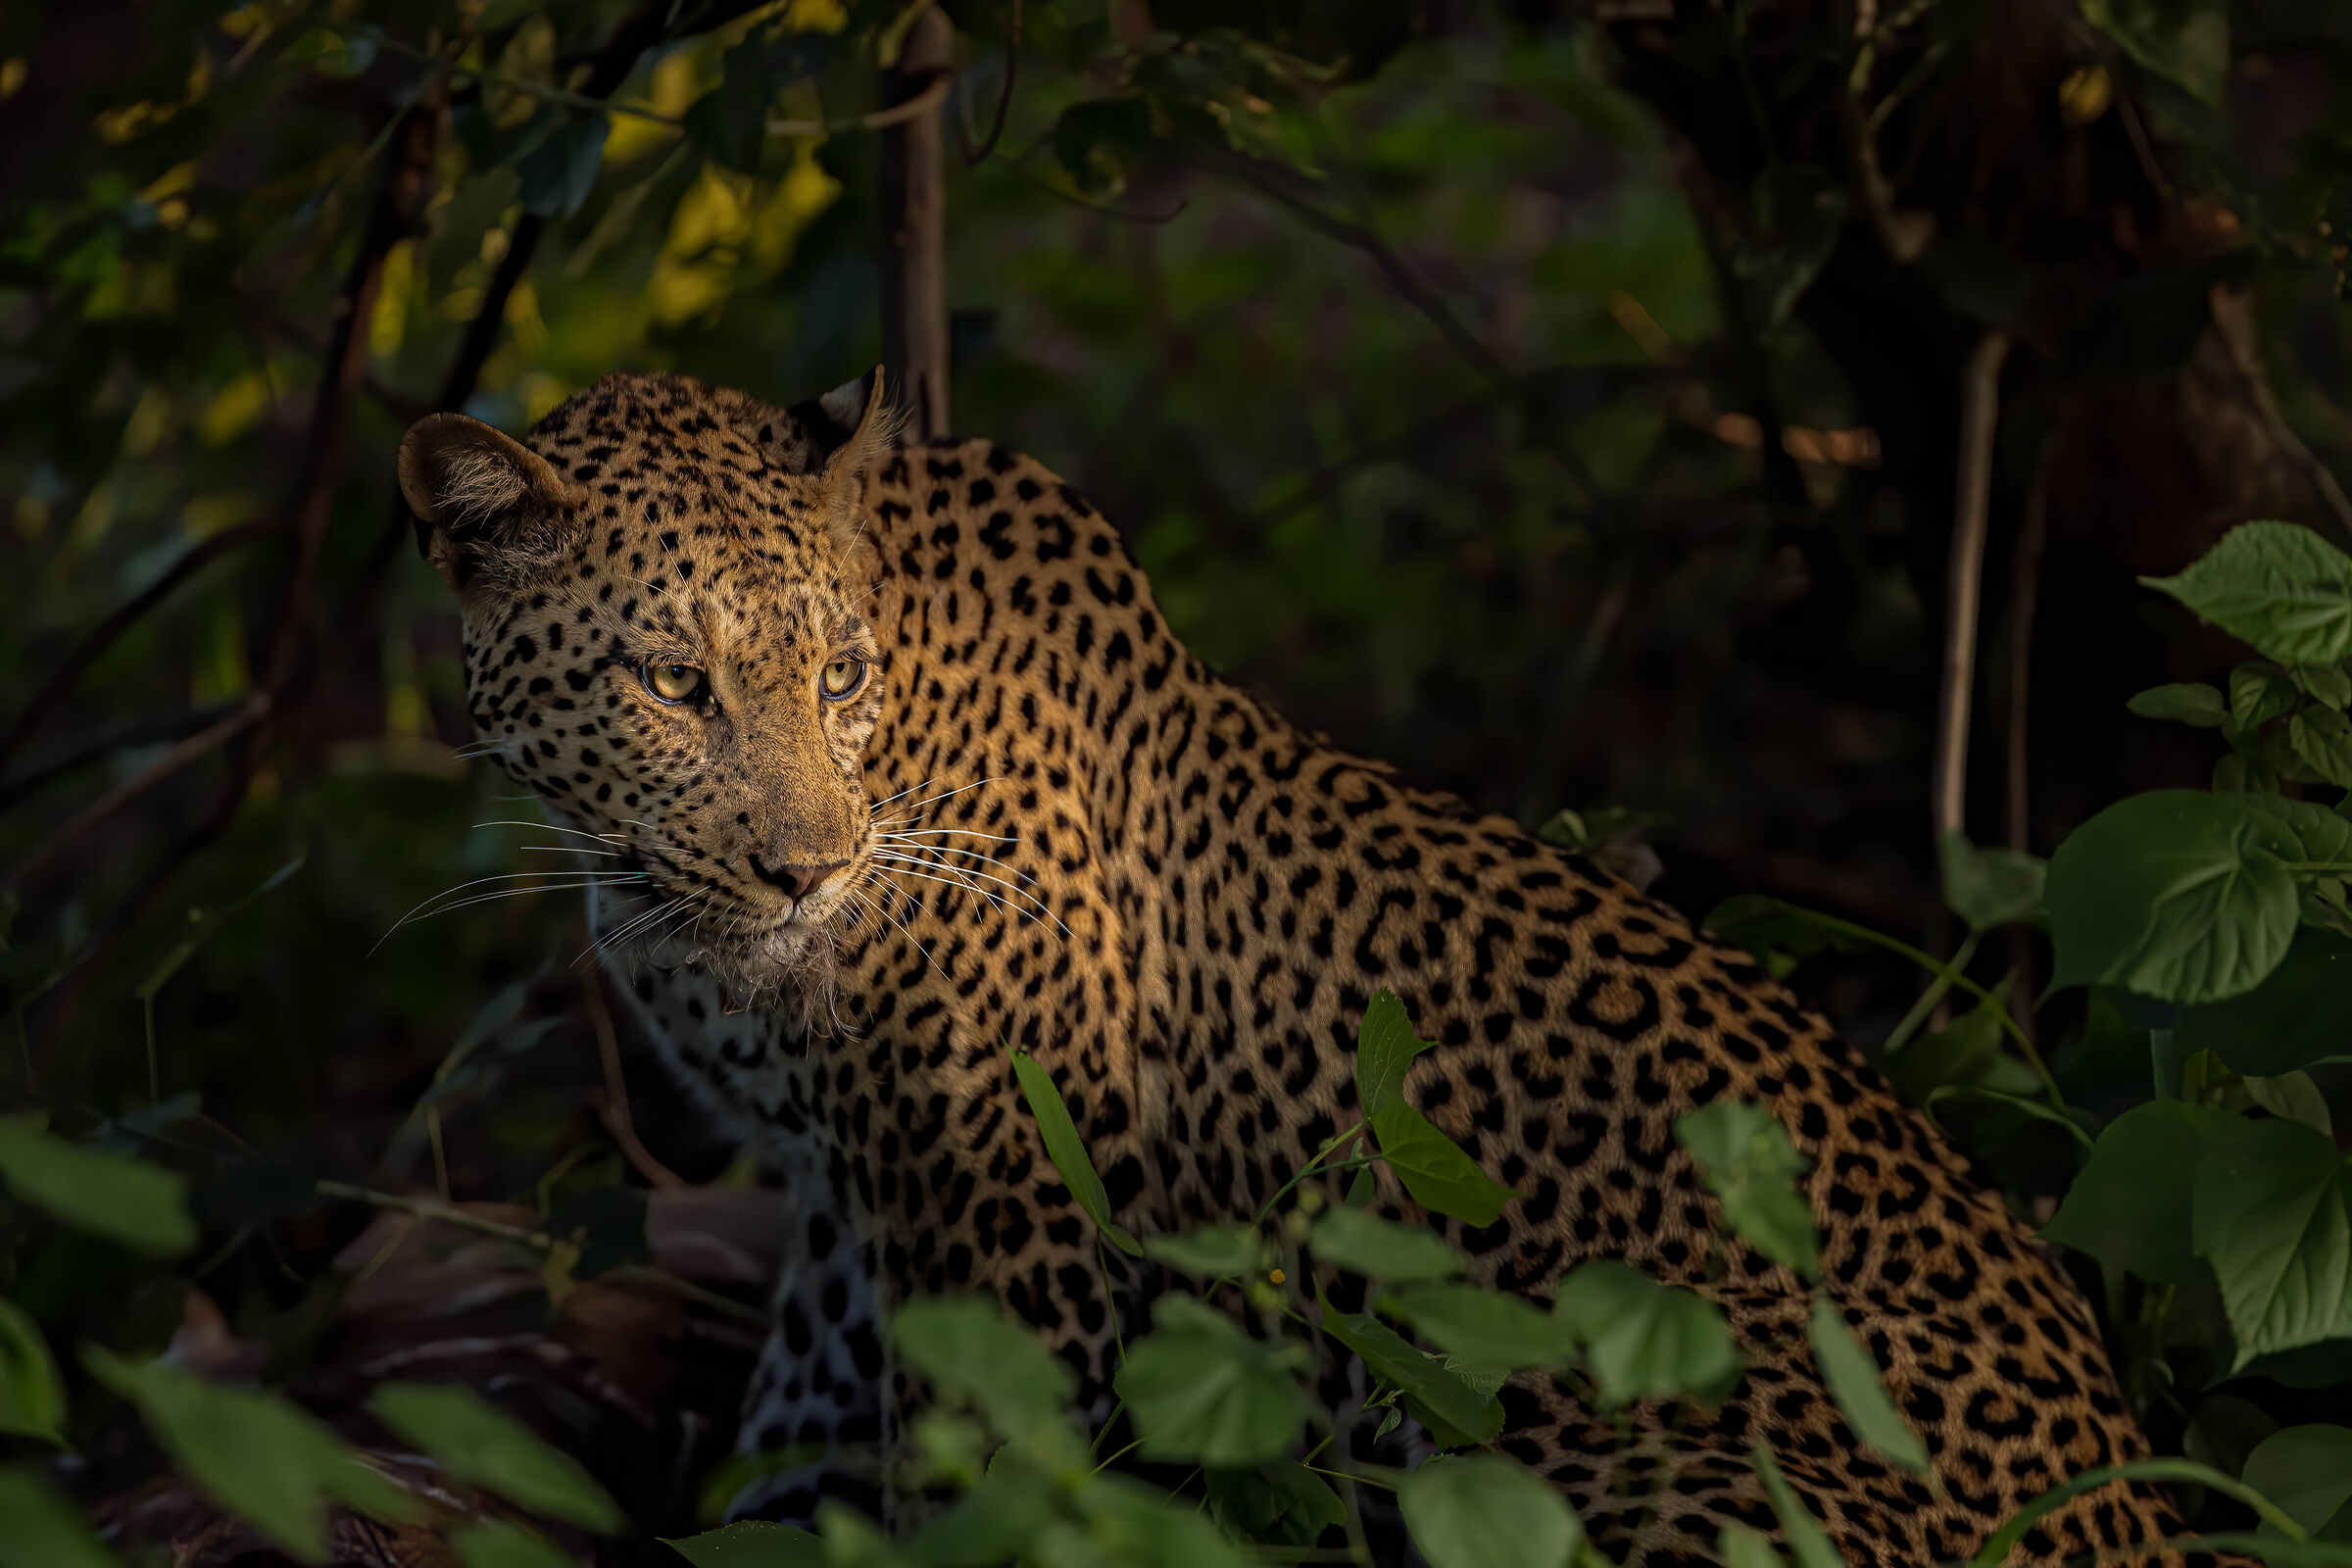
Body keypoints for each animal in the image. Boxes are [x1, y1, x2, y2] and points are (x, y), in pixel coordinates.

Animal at [398, 368, 2199, 1566]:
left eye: (835, 677)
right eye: (671, 684)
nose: (811, 870)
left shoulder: (1010, 1201)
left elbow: (987, 1476)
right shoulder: (853, 1194)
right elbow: (807, 1423)